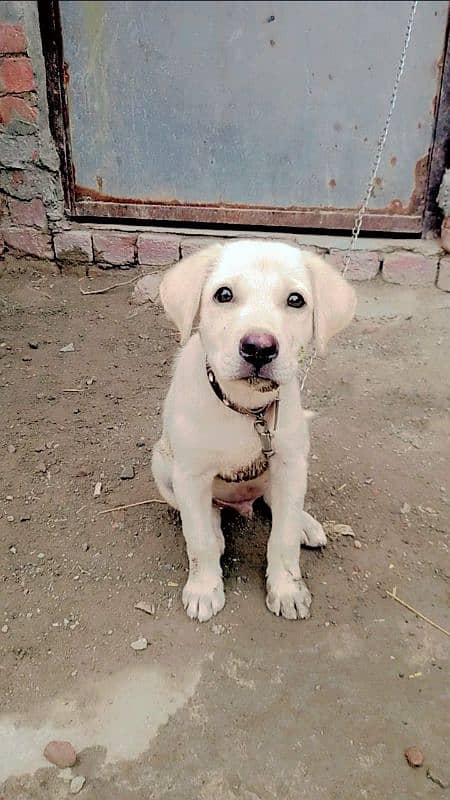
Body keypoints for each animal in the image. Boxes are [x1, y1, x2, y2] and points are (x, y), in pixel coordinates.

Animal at [151, 241, 356, 620]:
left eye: (295, 300)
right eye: (224, 294)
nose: (259, 347)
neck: (247, 408)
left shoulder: (289, 463)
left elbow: (283, 539)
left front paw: (287, 589)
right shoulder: (190, 475)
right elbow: (199, 540)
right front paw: (204, 589)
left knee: (278, 504)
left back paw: (305, 523)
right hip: (162, 465)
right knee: (208, 514)